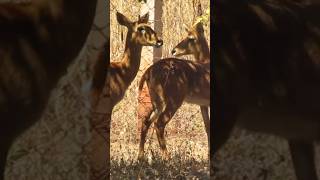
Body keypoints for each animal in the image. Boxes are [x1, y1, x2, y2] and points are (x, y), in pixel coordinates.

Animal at [137, 21, 210, 160]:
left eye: (191, 38)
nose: (174, 50)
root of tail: (149, 71)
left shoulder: (203, 104)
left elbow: (207, 127)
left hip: (157, 102)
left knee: (146, 122)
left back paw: (141, 156)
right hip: (173, 102)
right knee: (159, 124)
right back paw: (167, 157)